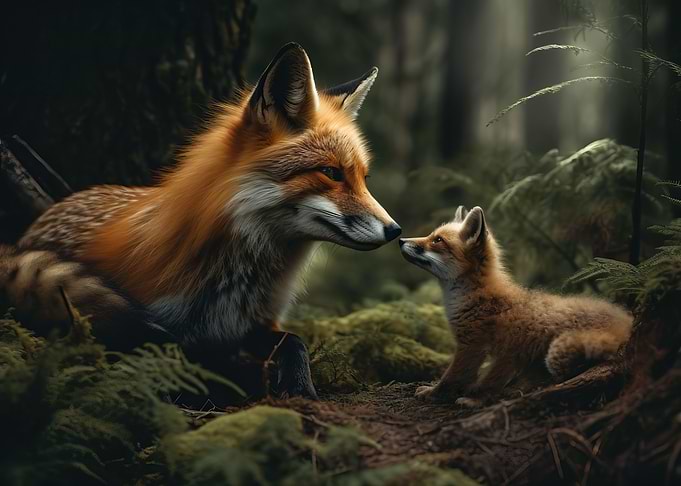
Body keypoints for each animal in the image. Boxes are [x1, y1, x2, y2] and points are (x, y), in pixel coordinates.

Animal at [1, 43, 401, 399]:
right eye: (332, 173)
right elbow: (194, 359)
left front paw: (300, 386)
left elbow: (294, 342)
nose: (396, 231)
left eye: (363, 178)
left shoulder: (254, 323)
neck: (235, 285)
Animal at [399, 206, 632, 403]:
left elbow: (455, 378)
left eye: (437, 240)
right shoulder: (505, 353)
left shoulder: (476, 346)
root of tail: (628, 320)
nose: (401, 239)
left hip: (558, 353)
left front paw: (461, 398)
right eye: (432, 235)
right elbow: (486, 378)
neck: (474, 296)